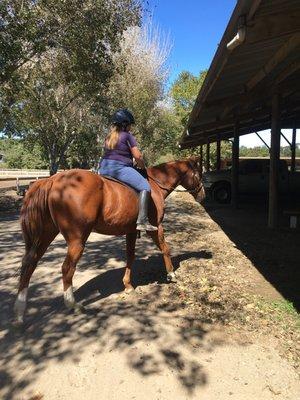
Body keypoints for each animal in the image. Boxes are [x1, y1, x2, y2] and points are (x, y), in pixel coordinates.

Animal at [14, 158, 205, 324]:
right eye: (198, 173)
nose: (203, 195)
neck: (155, 184)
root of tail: (52, 180)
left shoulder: (131, 231)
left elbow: (130, 256)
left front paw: (128, 285)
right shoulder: (156, 227)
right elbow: (165, 248)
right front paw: (171, 274)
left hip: (45, 235)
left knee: (29, 263)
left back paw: (20, 310)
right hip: (77, 240)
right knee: (67, 268)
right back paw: (72, 304)